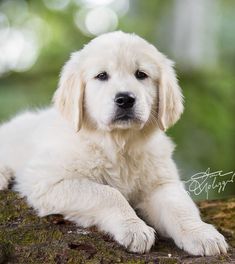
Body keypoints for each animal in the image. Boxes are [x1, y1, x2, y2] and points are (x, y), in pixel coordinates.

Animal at [0, 31, 228, 256]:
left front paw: (200, 233)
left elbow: (179, 206)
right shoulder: (48, 180)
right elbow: (109, 194)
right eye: (102, 76)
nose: (125, 99)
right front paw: (134, 228)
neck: (119, 144)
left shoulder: (162, 182)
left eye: (141, 74)